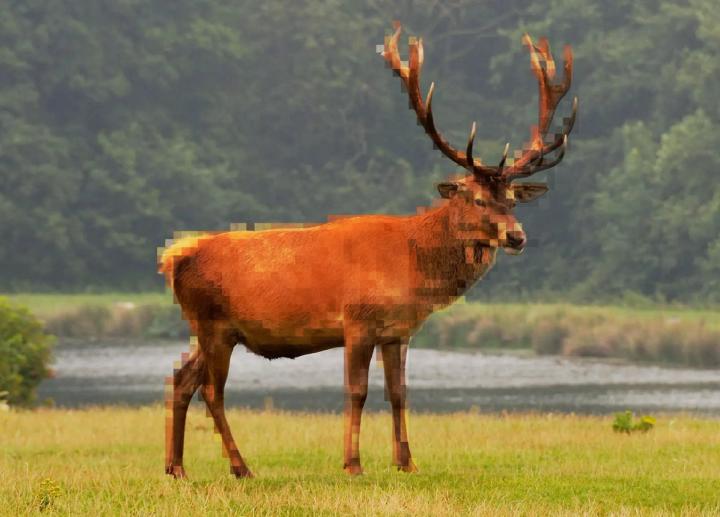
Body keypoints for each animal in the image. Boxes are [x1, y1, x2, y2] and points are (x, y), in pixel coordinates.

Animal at [159, 22, 577, 479]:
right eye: (478, 199)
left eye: (513, 200)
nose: (517, 237)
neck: (412, 267)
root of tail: (173, 258)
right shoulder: (357, 321)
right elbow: (356, 391)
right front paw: (353, 464)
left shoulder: (397, 332)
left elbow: (398, 393)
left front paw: (407, 462)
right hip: (211, 323)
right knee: (211, 390)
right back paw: (240, 467)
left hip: (217, 330)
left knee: (181, 377)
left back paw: (176, 468)